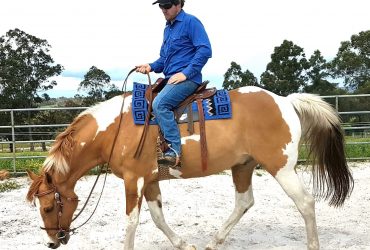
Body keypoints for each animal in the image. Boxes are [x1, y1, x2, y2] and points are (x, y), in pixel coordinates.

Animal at [25, 85, 352, 249]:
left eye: (49, 207)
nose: (53, 242)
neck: (116, 129)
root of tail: (285, 100)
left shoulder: (134, 180)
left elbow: (131, 222)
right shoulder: (150, 180)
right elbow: (158, 219)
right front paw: (184, 244)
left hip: (281, 167)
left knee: (306, 203)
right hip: (243, 166)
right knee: (244, 201)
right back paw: (214, 242)